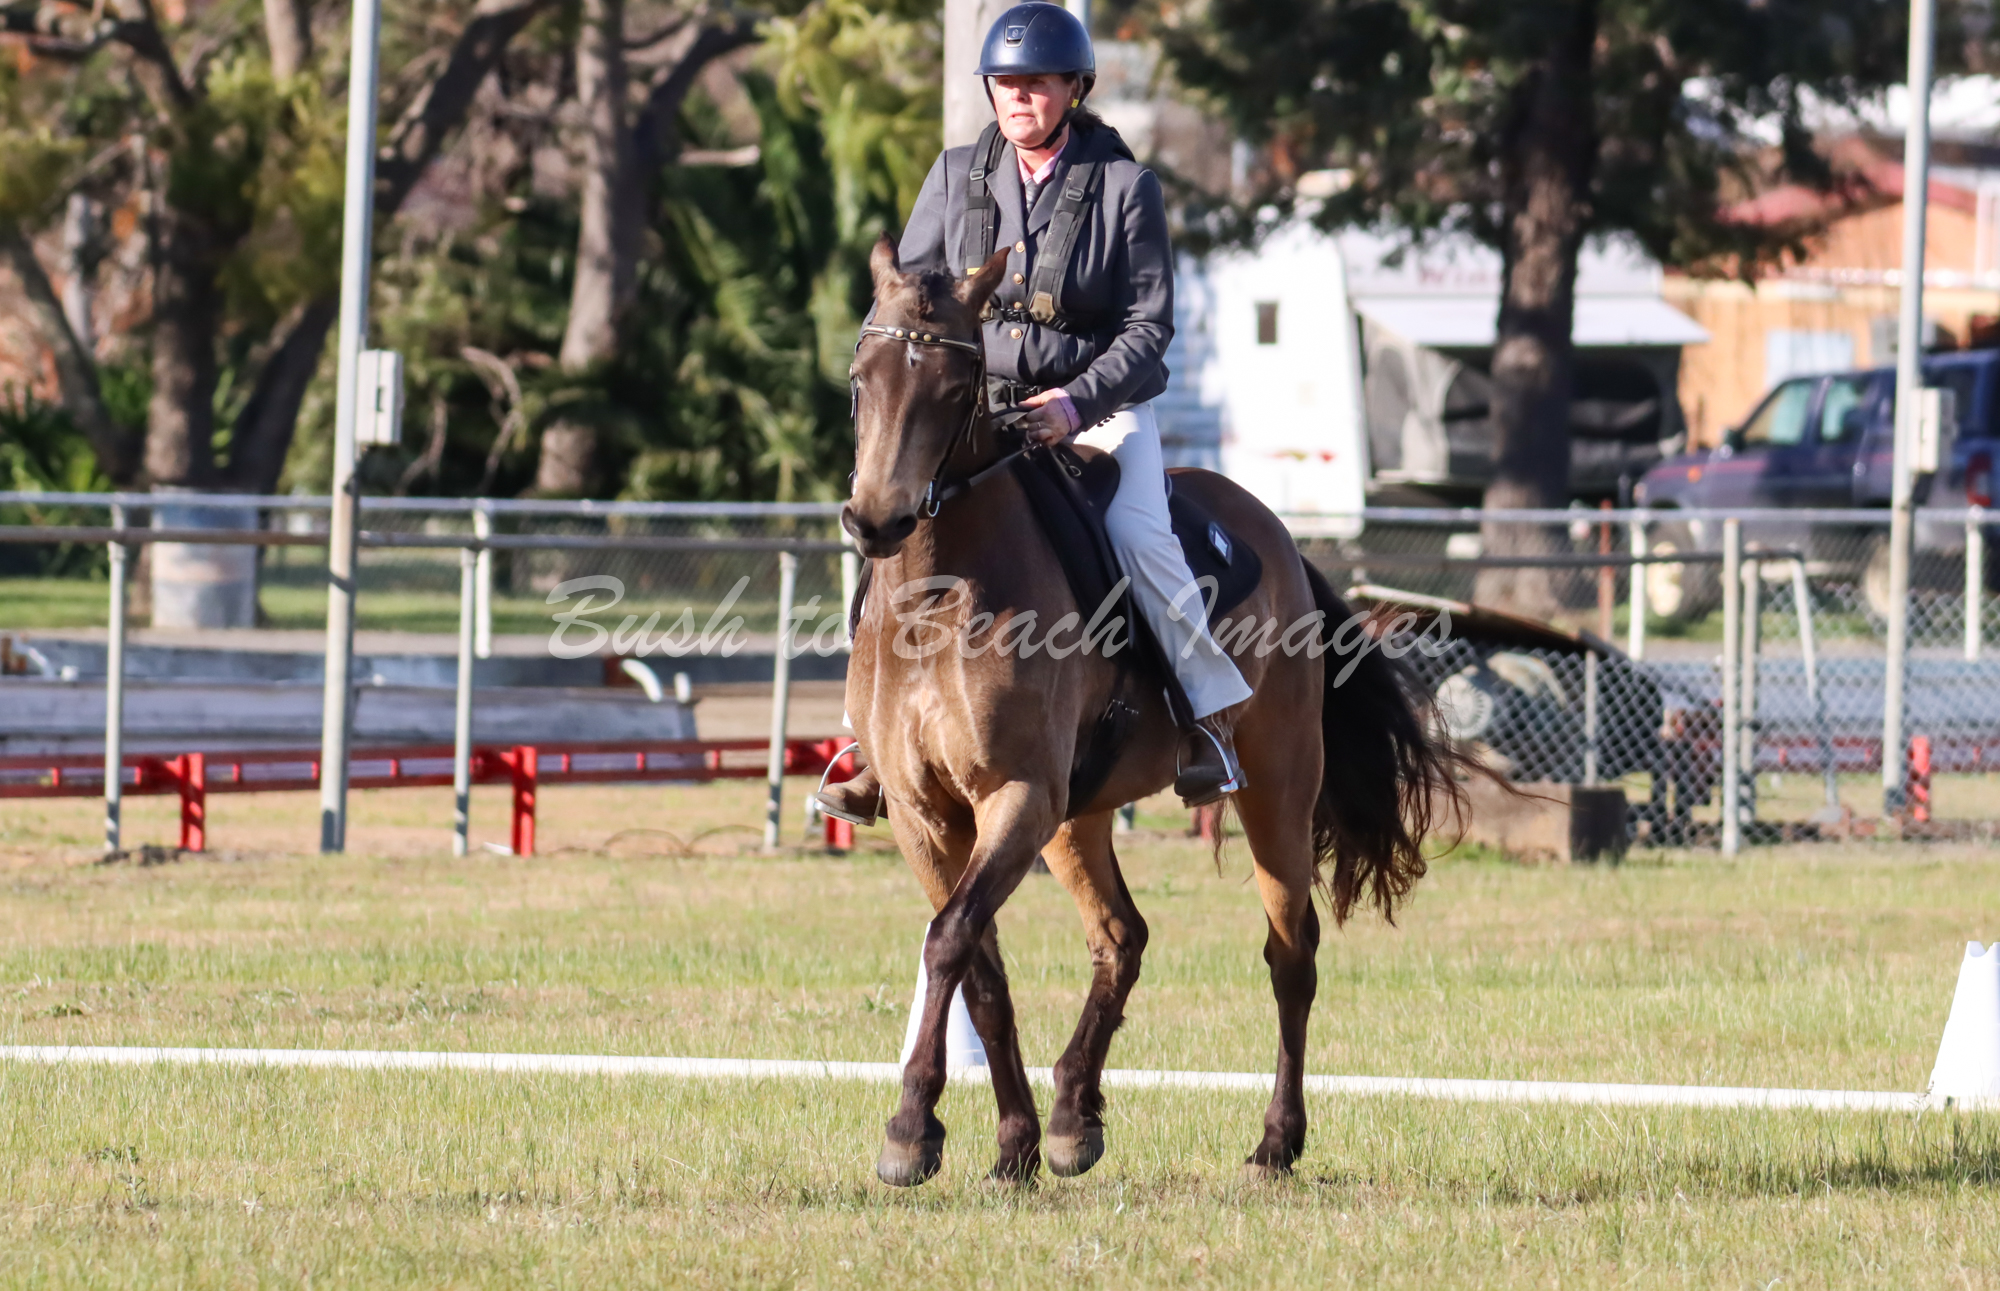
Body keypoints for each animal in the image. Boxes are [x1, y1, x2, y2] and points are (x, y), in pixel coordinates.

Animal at [842, 234, 1463, 1186]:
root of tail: (1279, 536)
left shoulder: (1016, 798)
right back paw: (1070, 1114)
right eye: (860, 376)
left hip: (1273, 791)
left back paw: (1275, 1141)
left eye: (952, 387)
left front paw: (912, 1128)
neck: (938, 595)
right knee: (1120, 936)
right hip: (1078, 819)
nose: (876, 520)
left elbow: (949, 940)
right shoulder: (924, 814)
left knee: (1291, 953)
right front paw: (1011, 1140)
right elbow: (978, 965)